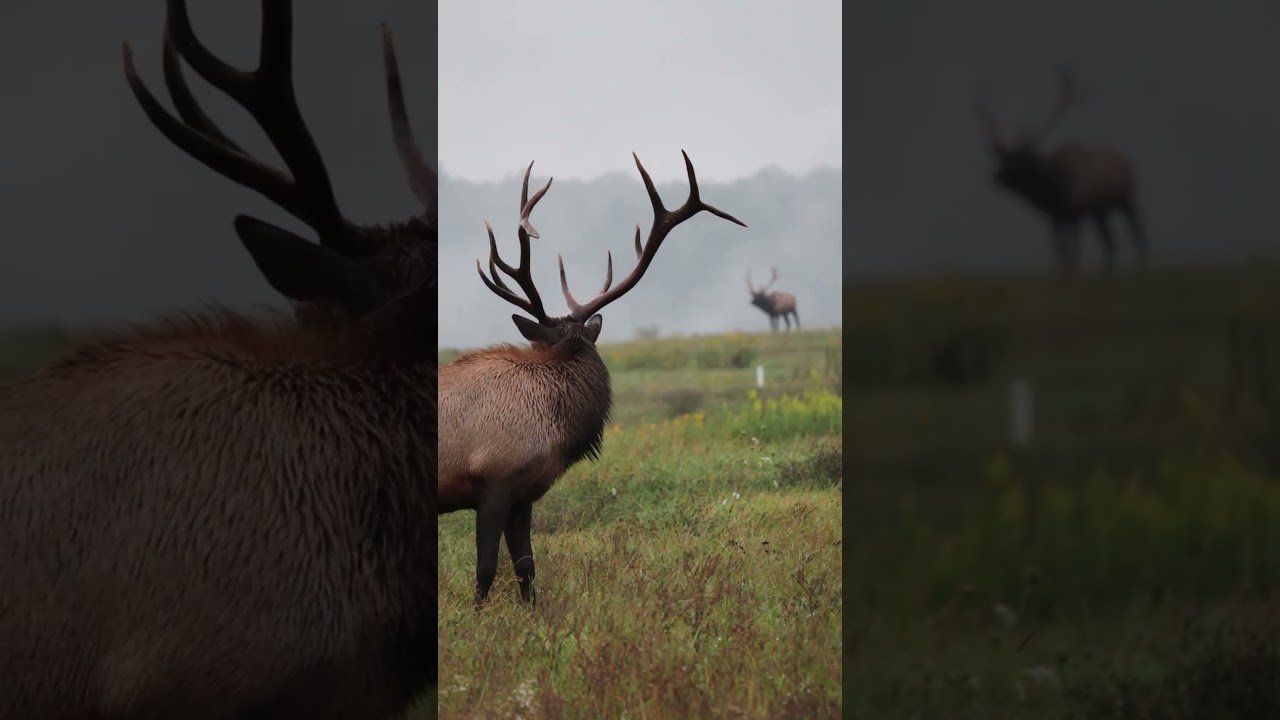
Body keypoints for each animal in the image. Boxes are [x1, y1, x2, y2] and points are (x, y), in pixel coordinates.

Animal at [977, 68, 1147, 272]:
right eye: (1002, 158)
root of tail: (1125, 159)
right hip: (1100, 212)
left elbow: (1073, 250)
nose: (996, 177)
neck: (1055, 189)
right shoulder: (1055, 218)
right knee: (1110, 242)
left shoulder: (1075, 214)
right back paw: (1104, 273)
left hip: (1127, 200)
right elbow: (1059, 250)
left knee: (1136, 234)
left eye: (1022, 160)